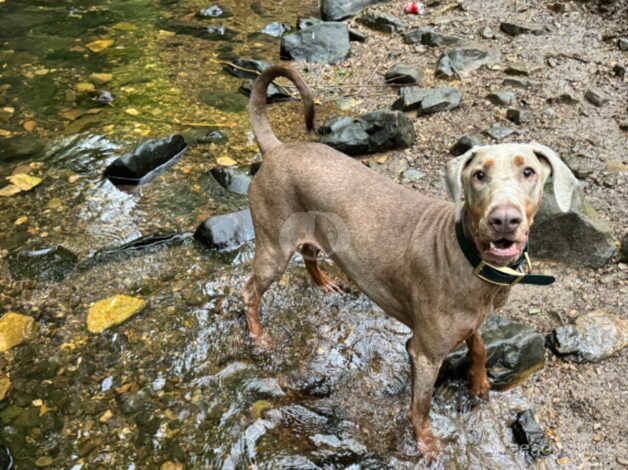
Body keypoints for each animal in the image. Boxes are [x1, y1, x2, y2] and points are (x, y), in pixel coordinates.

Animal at [242, 65, 580, 458]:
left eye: (529, 172)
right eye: (478, 175)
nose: (504, 220)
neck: (470, 260)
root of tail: (277, 149)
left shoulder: (472, 320)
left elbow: (479, 346)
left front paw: (479, 383)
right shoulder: (423, 352)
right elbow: (421, 405)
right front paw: (427, 444)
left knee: (309, 254)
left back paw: (324, 282)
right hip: (272, 249)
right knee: (249, 291)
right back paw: (259, 337)